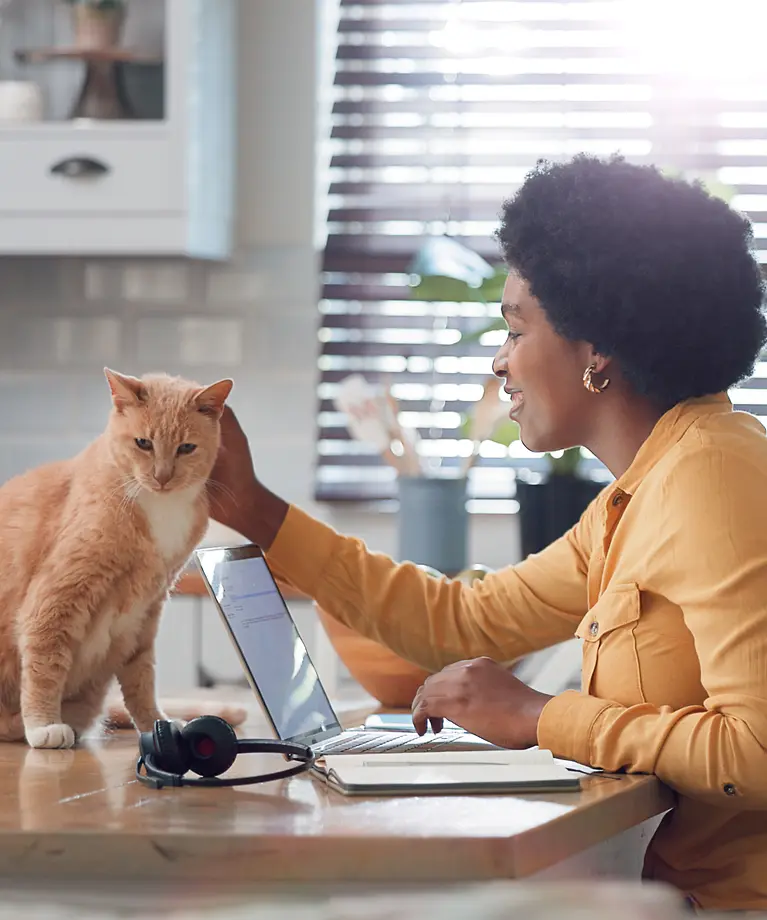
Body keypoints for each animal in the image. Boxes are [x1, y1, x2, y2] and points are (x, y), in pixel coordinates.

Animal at [0, 366, 234, 748]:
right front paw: (43, 725)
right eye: (144, 443)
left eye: (186, 448)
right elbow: (44, 662)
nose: (162, 477)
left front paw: (156, 723)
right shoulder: (59, 594)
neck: (158, 505)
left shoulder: (147, 610)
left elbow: (141, 679)